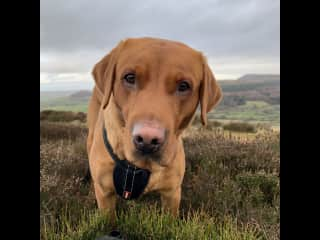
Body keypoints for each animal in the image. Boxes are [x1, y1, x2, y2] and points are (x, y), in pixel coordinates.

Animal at [86, 37, 221, 219]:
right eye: (130, 77)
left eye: (184, 86)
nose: (147, 140)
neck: (142, 167)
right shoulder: (105, 195)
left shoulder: (172, 194)